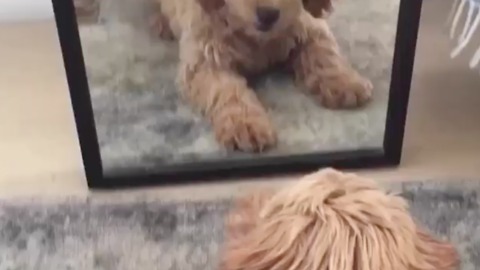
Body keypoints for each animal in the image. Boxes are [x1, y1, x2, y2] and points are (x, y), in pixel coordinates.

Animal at [152, 0, 374, 152]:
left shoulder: (307, 25)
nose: (268, 15)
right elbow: (227, 91)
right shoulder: (205, 58)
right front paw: (245, 124)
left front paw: (344, 82)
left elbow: (323, 52)